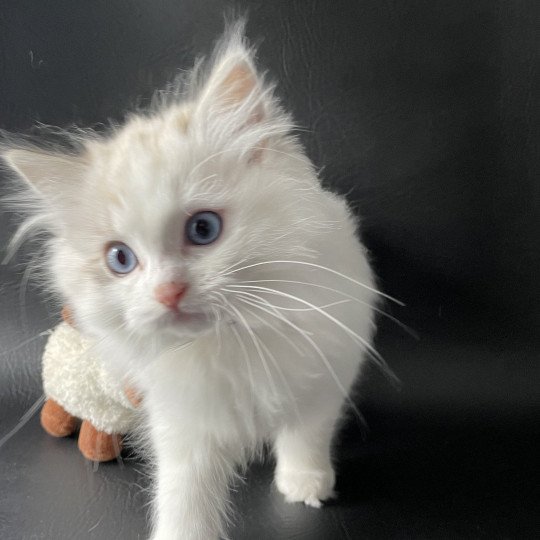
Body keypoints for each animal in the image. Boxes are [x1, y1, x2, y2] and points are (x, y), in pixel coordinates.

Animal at [3, 24, 384, 540]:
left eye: (203, 229)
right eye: (120, 259)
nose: (168, 293)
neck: (233, 341)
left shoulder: (323, 380)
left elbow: (305, 436)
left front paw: (305, 484)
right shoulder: (182, 422)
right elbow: (186, 497)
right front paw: (184, 532)